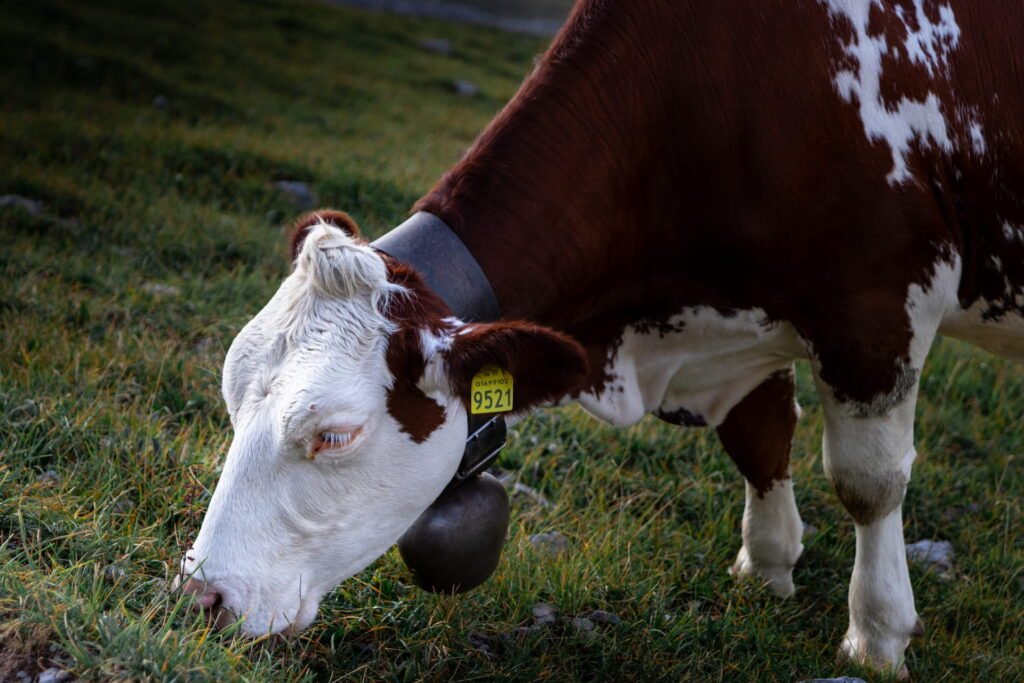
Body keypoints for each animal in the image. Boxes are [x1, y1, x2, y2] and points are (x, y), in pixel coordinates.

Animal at [178, 0, 1024, 675]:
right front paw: (767, 566)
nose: (202, 594)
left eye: (334, 435)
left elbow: (867, 482)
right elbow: (758, 436)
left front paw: (877, 635)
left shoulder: (876, 306)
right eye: (230, 400)